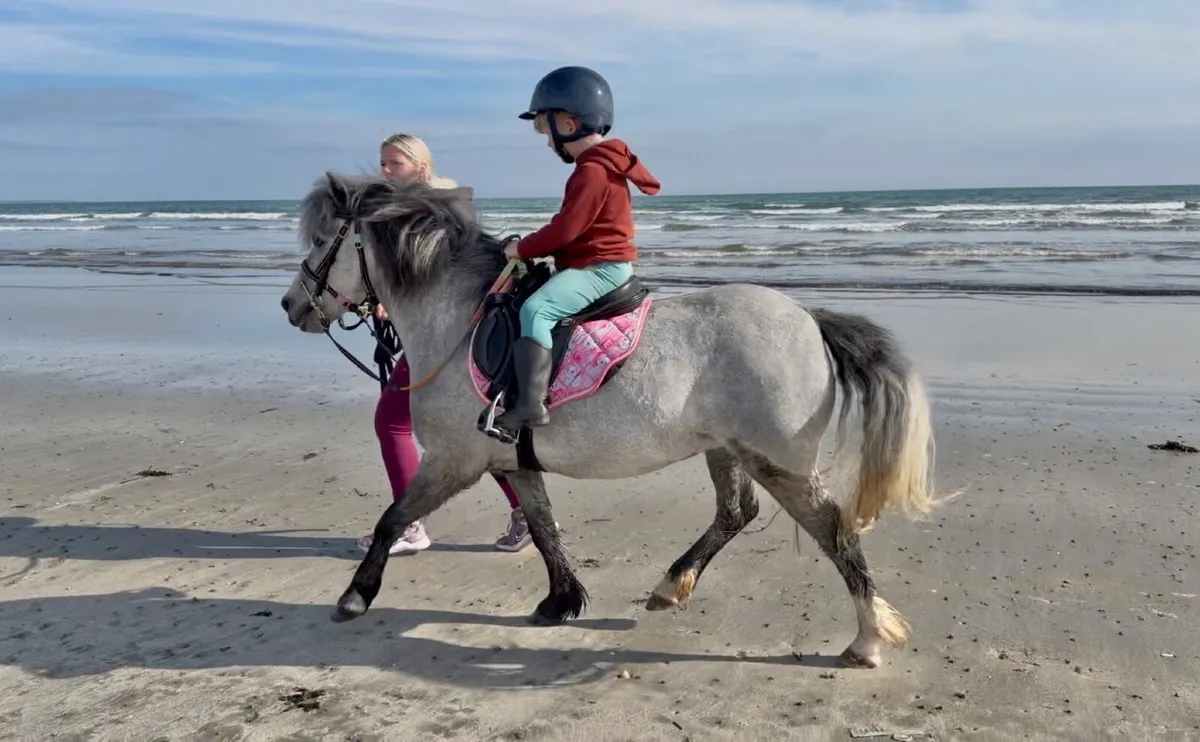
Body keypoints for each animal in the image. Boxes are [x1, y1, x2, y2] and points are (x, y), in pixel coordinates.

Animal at [280, 172, 941, 669]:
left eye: (321, 240)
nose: (291, 306)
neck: (459, 321)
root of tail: (810, 321)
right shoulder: (512, 460)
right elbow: (544, 527)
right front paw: (560, 602)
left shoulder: (453, 462)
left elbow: (392, 518)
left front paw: (355, 595)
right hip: (727, 449)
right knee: (736, 513)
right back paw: (672, 585)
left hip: (779, 461)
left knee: (835, 531)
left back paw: (867, 638)